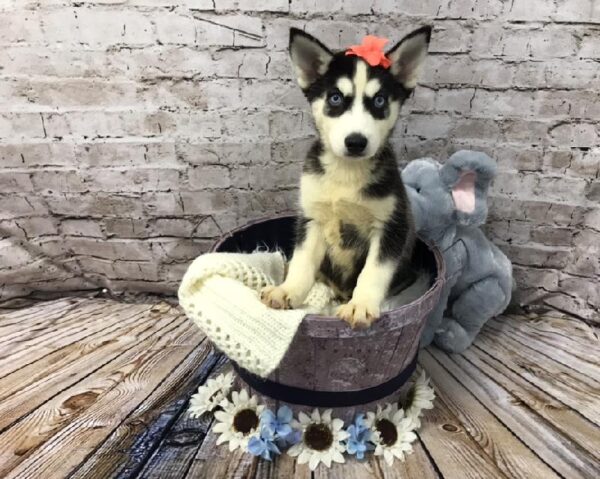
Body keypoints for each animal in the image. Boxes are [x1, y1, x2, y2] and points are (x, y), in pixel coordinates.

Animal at [262, 27, 432, 330]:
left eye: (379, 100)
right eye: (335, 98)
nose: (356, 142)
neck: (346, 173)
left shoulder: (391, 226)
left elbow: (373, 271)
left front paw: (361, 305)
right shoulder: (313, 220)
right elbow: (303, 263)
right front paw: (288, 290)